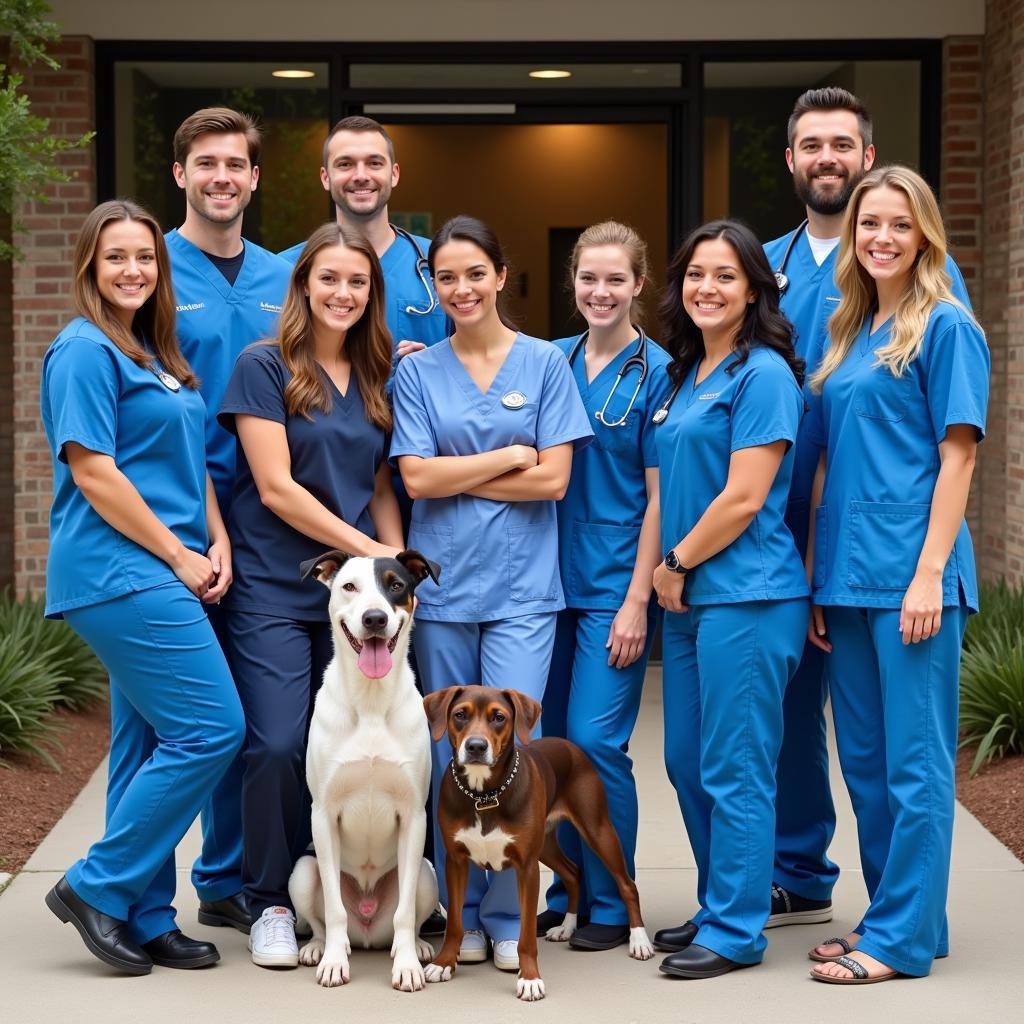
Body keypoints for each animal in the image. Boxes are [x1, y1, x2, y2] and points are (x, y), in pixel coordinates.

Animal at [288, 552, 440, 991]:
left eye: (396, 586)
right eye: (349, 586)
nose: (375, 618)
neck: (371, 701)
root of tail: (369, 931)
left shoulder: (414, 816)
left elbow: (405, 913)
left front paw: (406, 965)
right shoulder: (322, 815)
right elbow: (334, 909)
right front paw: (334, 962)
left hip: (427, 874)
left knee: (406, 916)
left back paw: (418, 946)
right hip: (302, 872)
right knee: (324, 920)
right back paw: (318, 947)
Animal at [419, 688, 651, 999]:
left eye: (499, 717)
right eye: (460, 715)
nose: (476, 746)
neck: (483, 795)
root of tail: (568, 745)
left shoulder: (527, 867)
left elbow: (526, 935)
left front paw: (529, 979)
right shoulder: (456, 862)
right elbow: (455, 922)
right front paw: (444, 963)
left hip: (598, 829)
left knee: (627, 884)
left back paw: (639, 940)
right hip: (547, 845)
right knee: (573, 872)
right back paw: (566, 927)